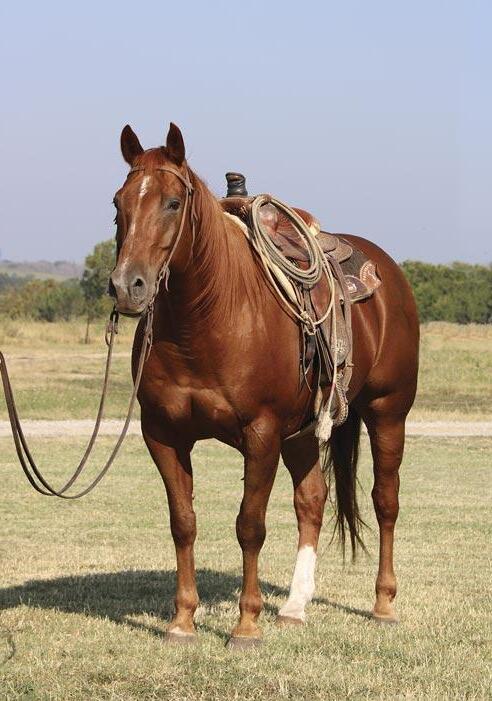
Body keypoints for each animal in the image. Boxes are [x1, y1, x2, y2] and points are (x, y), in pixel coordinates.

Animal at [109, 122, 419, 648]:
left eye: (172, 202)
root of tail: (389, 274)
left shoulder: (260, 433)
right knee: (312, 500)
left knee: (385, 501)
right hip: (301, 433)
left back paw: (383, 604)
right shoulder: (163, 435)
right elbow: (183, 523)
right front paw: (183, 620)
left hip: (387, 412)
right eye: (118, 202)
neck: (207, 320)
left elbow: (249, 526)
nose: (127, 285)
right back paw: (294, 606)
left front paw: (246, 625)